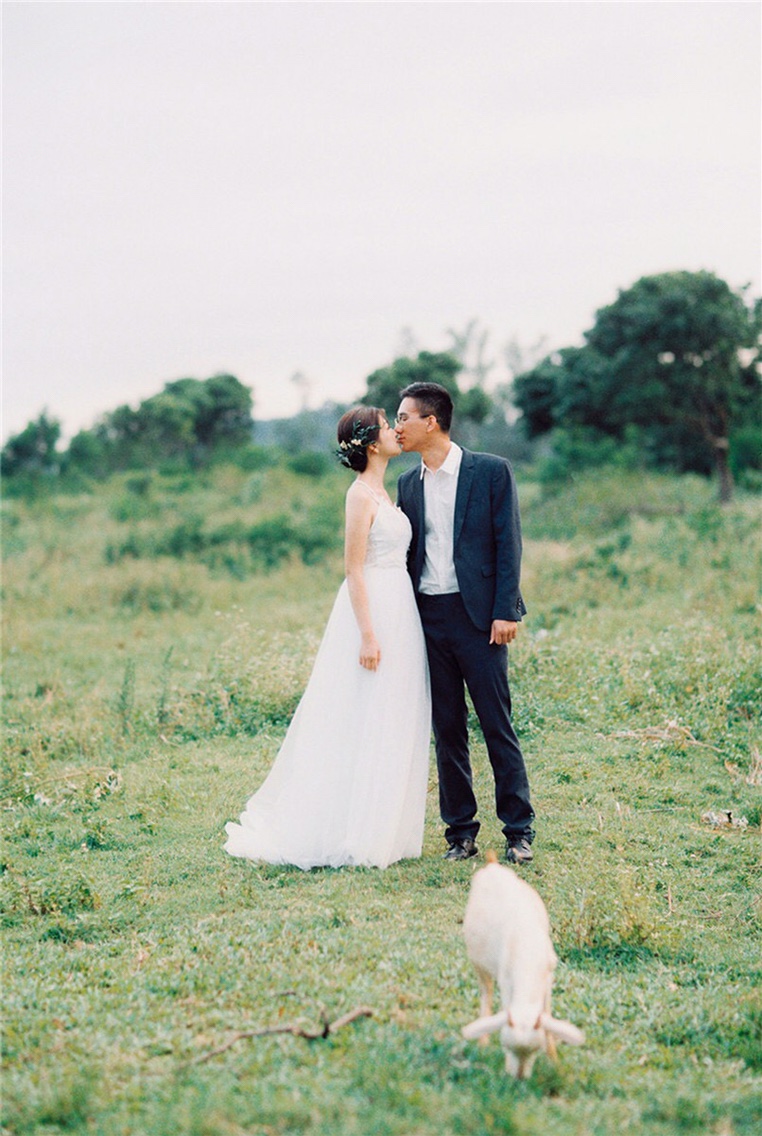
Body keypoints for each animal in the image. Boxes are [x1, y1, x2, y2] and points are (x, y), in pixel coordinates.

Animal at [461, 851, 584, 1078]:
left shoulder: (548, 979)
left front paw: (553, 1061)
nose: (518, 1078)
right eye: (506, 1047)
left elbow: (546, 1016)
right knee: (486, 994)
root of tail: (492, 866)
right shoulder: (505, 981)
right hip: (479, 964)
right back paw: (482, 1043)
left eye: (535, 1050)